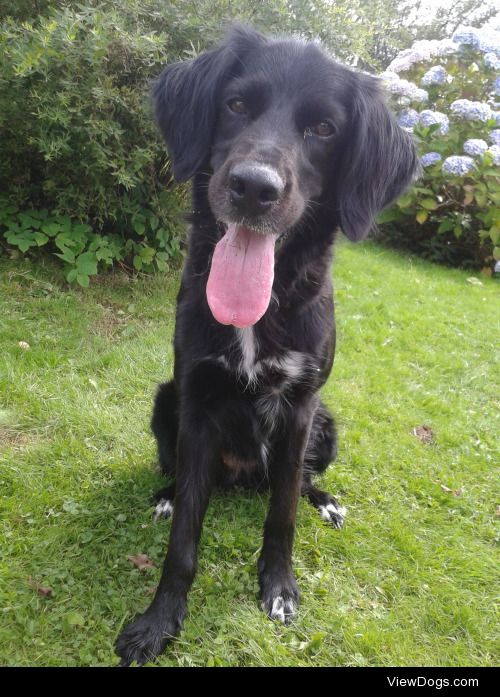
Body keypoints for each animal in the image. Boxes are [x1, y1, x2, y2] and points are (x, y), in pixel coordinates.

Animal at [114, 24, 418, 664]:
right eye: (235, 104)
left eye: (324, 128)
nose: (254, 188)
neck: (261, 308)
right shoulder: (196, 401)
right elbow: (183, 540)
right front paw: (159, 620)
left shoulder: (301, 407)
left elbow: (282, 517)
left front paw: (278, 590)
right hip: (164, 400)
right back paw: (167, 493)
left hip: (327, 424)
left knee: (294, 483)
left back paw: (324, 499)